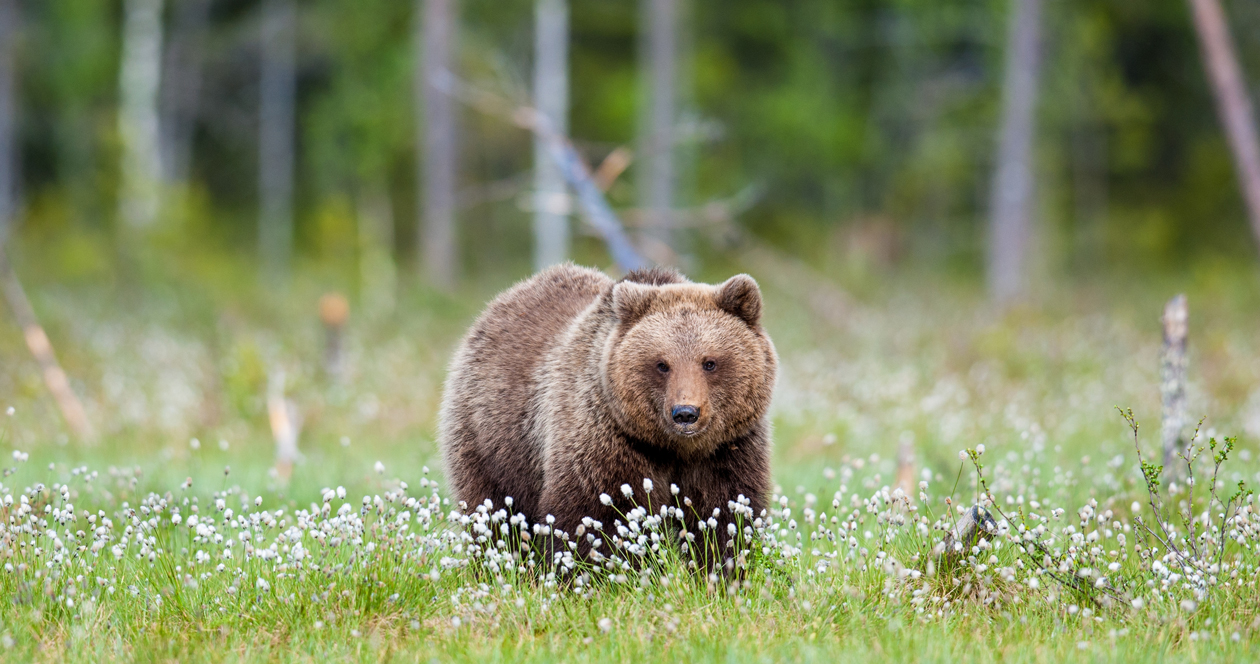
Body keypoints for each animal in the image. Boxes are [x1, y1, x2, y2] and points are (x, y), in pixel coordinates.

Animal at [441, 263, 776, 561]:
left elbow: (724, 512)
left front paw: (721, 568)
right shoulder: (605, 438)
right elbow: (598, 515)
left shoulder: (726, 449)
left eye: (709, 362)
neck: (674, 448)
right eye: (662, 364)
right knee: (494, 512)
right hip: (494, 438)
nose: (685, 413)